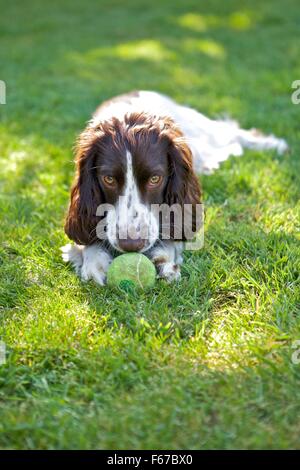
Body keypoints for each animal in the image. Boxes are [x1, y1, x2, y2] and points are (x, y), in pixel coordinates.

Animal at [61, 90, 288, 284]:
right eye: (108, 179)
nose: (131, 245)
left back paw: (273, 144)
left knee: (229, 133)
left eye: (155, 179)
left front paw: (165, 258)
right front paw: (93, 263)